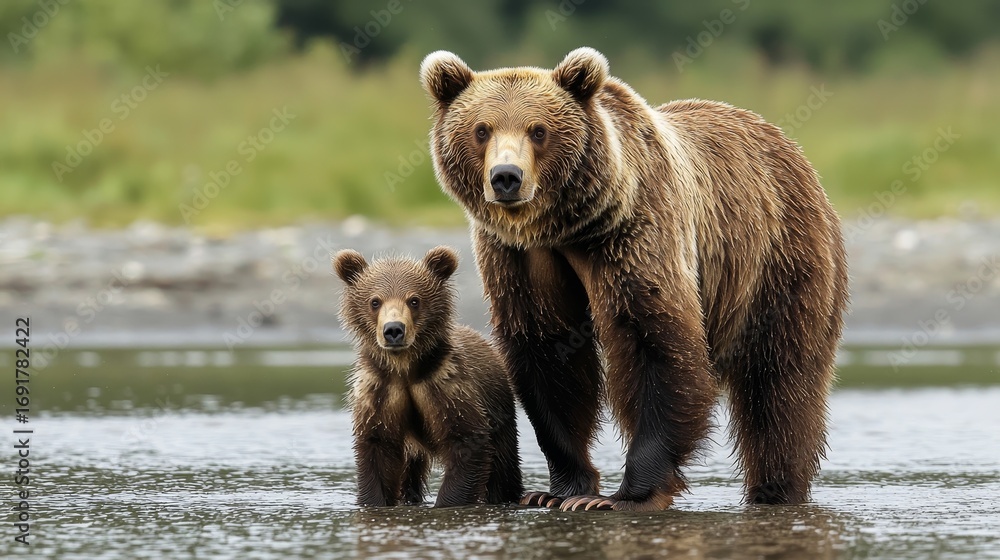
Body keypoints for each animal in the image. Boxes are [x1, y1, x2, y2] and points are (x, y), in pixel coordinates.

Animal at [333, 246, 523, 507]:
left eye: (414, 300)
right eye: (375, 301)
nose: (394, 329)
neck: (404, 367)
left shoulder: (446, 384)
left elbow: (466, 440)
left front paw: (446, 503)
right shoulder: (380, 388)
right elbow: (377, 449)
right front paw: (374, 501)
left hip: (500, 411)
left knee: (504, 467)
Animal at [419, 47, 848, 511]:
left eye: (538, 130)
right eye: (482, 130)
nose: (506, 177)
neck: (567, 229)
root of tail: (789, 148)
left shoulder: (634, 233)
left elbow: (657, 343)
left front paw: (623, 496)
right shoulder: (520, 258)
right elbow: (548, 352)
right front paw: (558, 491)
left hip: (778, 258)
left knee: (777, 380)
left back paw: (775, 489)